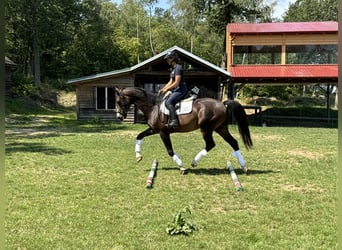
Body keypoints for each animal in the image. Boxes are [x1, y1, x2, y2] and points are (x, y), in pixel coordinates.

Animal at [116, 86, 252, 174]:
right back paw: (244, 166)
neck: (153, 106)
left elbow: (170, 150)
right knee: (233, 142)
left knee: (210, 144)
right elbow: (139, 136)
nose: (119, 117)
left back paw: (194, 162)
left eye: (118, 101)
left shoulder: (163, 132)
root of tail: (223, 104)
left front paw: (181, 167)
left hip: (206, 129)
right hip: (220, 128)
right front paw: (138, 156)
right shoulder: (153, 130)